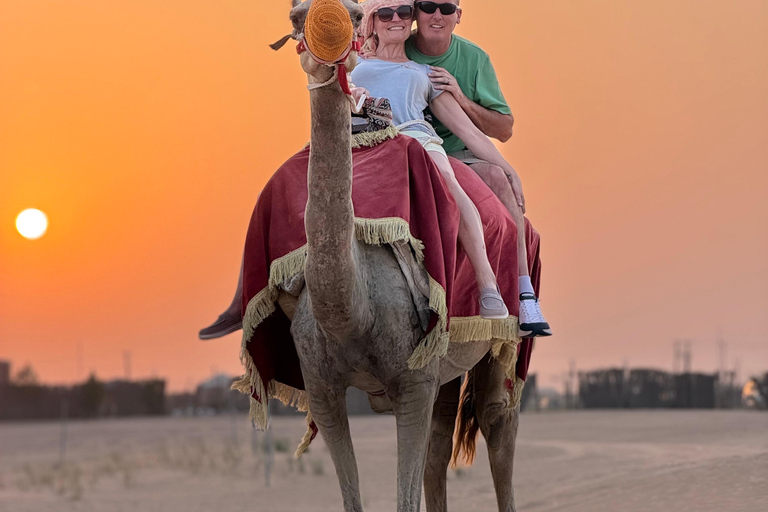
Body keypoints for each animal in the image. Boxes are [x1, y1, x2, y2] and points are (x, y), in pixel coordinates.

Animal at [266, 1, 524, 510]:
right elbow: (355, 496)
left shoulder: (412, 381)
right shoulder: (323, 390)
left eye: (351, 13)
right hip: (445, 364)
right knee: (440, 442)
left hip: (501, 343)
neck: (354, 309)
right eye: (295, 16)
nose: (327, 42)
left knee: (497, 418)